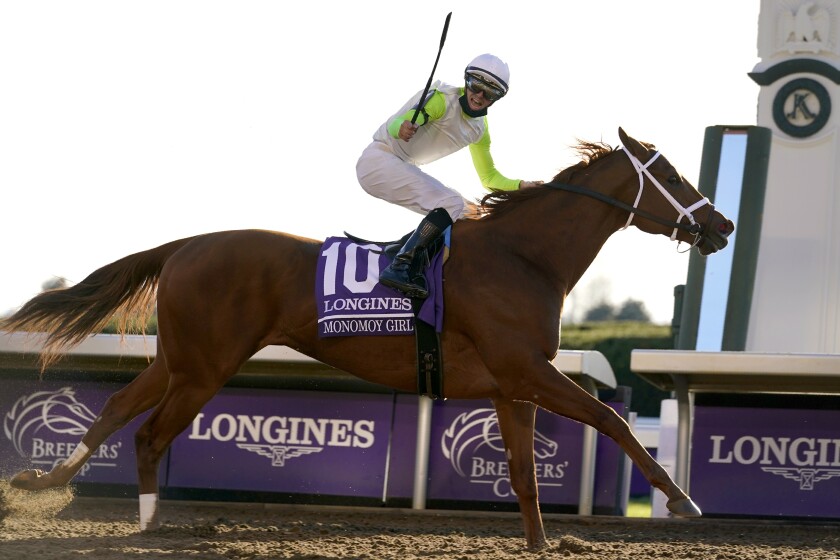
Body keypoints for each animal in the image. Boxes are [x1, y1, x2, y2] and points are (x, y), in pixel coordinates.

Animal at [1, 128, 736, 552]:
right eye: (673, 177)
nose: (723, 225)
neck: (523, 257)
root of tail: (184, 245)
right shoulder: (528, 371)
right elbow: (613, 419)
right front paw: (683, 498)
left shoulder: (513, 386)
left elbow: (525, 473)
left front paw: (539, 544)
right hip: (205, 367)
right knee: (150, 434)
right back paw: (145, 524)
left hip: (182, 359)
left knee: (115, 409)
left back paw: (44, 483)